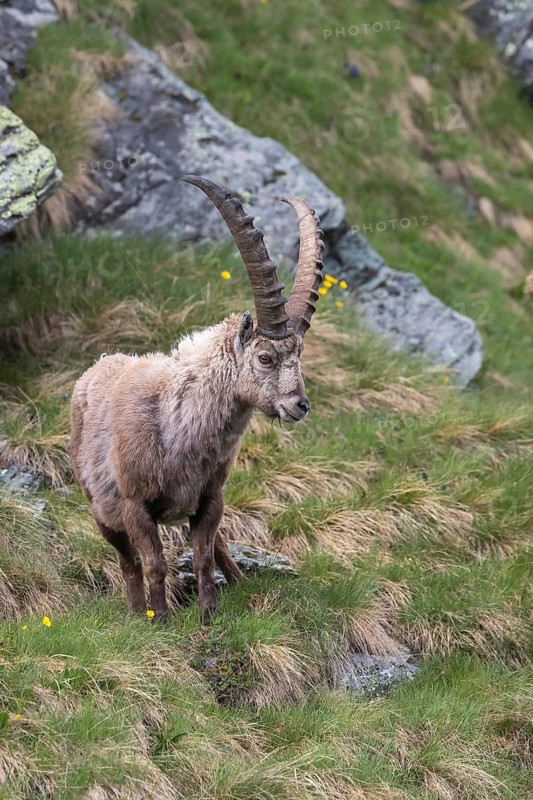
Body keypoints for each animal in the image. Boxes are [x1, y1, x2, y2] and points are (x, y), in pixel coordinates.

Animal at [70, 176, 324, 622]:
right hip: (101, 510)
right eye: (265, 357)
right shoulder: (136, 507)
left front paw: (210, 616)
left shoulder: (209, 499)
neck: (180, 423)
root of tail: (95, 368)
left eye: (299, 356)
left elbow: (204, 556)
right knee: (127, 562)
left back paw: (240, 583)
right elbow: (154, 563)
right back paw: (137, 612)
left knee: (217, 547)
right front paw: (160, 621)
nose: (299, 406)